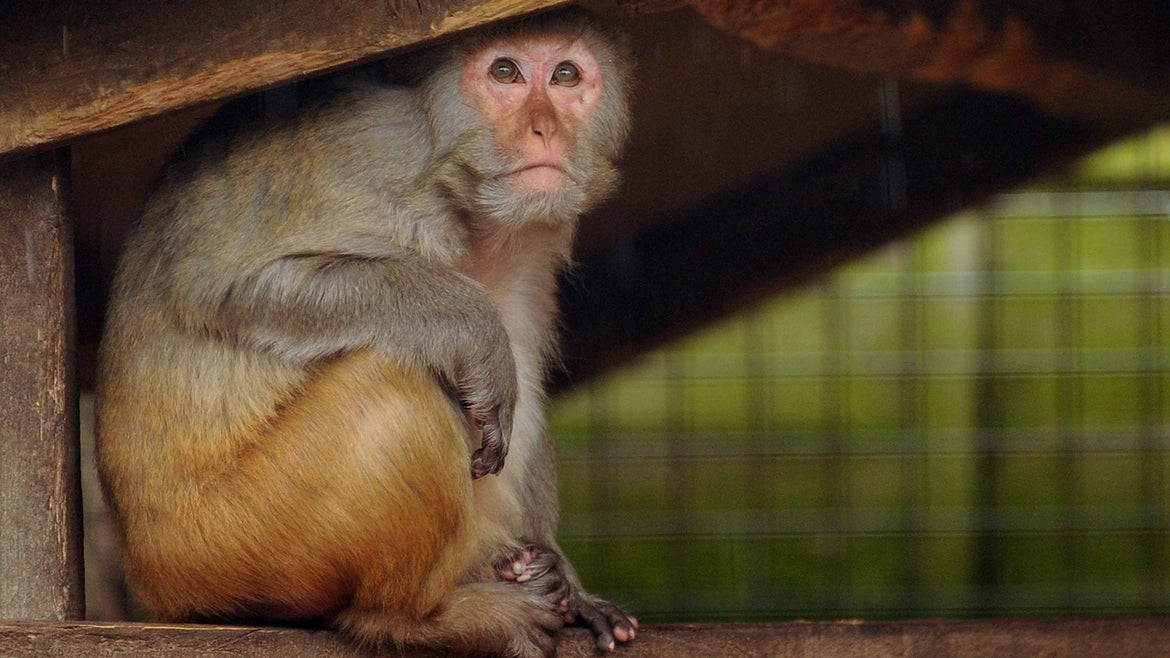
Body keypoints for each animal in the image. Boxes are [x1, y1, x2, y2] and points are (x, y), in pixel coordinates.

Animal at [95, 6, 636, 655]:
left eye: (565, 75)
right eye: (504, 71)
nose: (544, 130)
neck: (466, 201)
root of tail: (146, 570)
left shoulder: (533, 242)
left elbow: (523, 363)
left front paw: (568, 580)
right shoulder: (374, 147)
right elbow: (223, 287)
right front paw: (475, 328)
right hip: (225, 545)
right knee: (393, 390)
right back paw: (412, 619)